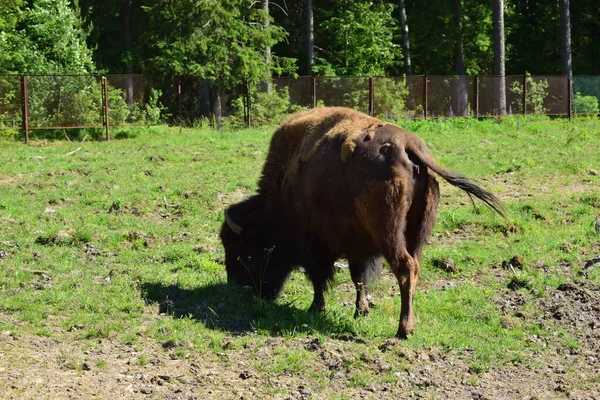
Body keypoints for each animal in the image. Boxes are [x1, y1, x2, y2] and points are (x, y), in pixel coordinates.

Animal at [218, 106, 504, 338]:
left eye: (244, 251)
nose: (237, 285)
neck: (284, 185)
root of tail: (409, 146)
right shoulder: (358, 248)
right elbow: (359, 278)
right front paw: (361, 311)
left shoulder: (316, 246)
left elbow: (320, 278)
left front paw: (316, 308)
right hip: (417, 234)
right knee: (415, 267)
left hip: (389, 233)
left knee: (405, 268)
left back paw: (403, 330)